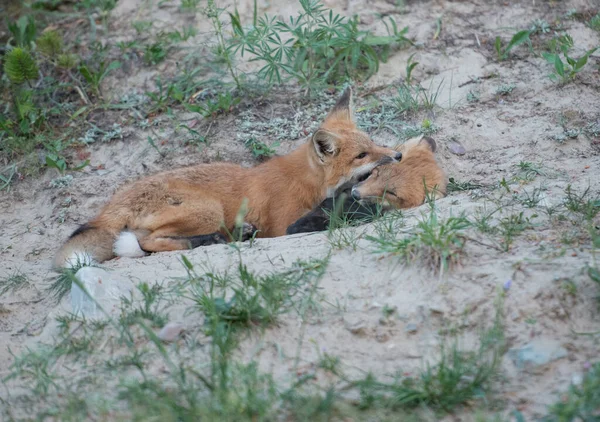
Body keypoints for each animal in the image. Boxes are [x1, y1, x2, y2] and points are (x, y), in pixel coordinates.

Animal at [55, 88, 404, 268]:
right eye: (361, 156)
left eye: (373, 143)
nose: (398, 155)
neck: (310, 181)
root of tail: (113, 203)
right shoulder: (285, 225)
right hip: (208, 209)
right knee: (146, 242)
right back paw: (216, 239)